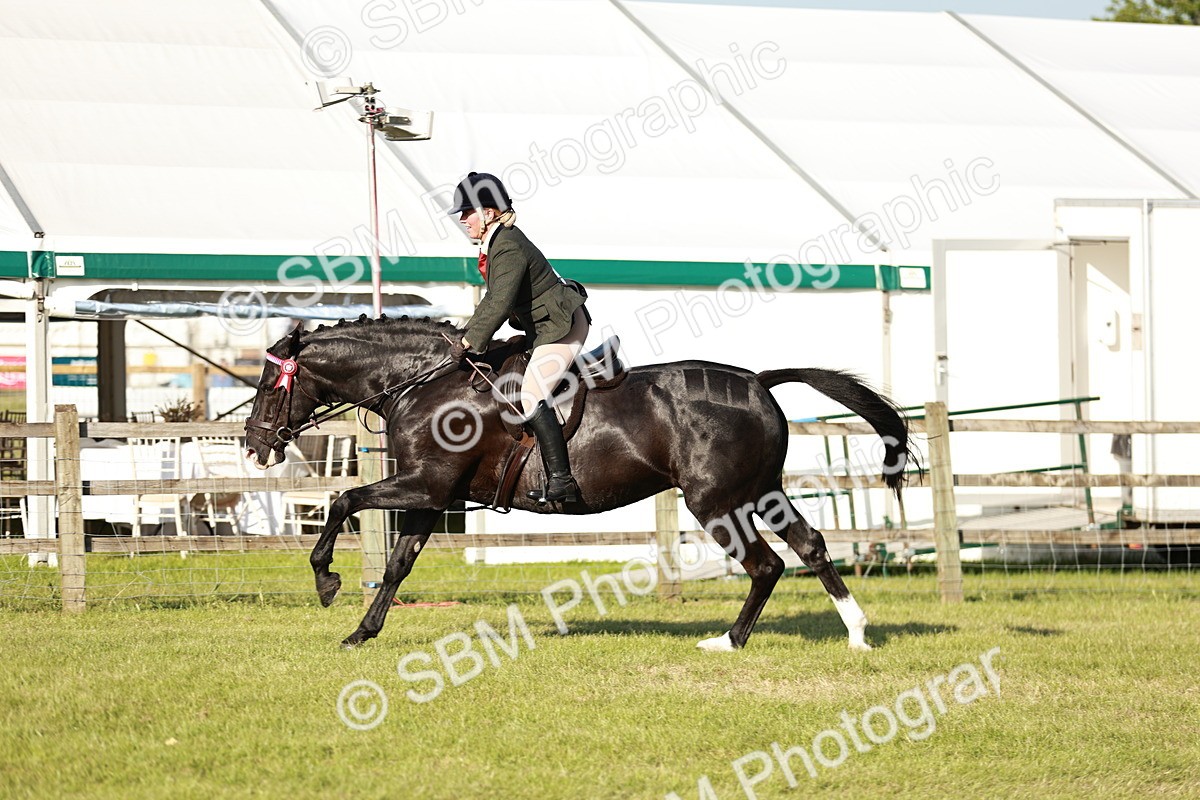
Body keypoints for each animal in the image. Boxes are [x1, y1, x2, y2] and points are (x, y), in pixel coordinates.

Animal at [243, 316, 914, 651]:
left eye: (271, 382)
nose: (254, 444)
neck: (427, 382)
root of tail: (756, 380)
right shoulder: (431, 498)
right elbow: (396, 566)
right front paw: (362, 632)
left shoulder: (427, 486)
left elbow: (343, 500)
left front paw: (327, 582)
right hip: (758, 492)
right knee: (809, 547)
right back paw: (857, 635)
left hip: (715, 500)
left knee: (765, 565)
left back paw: (729, 642)